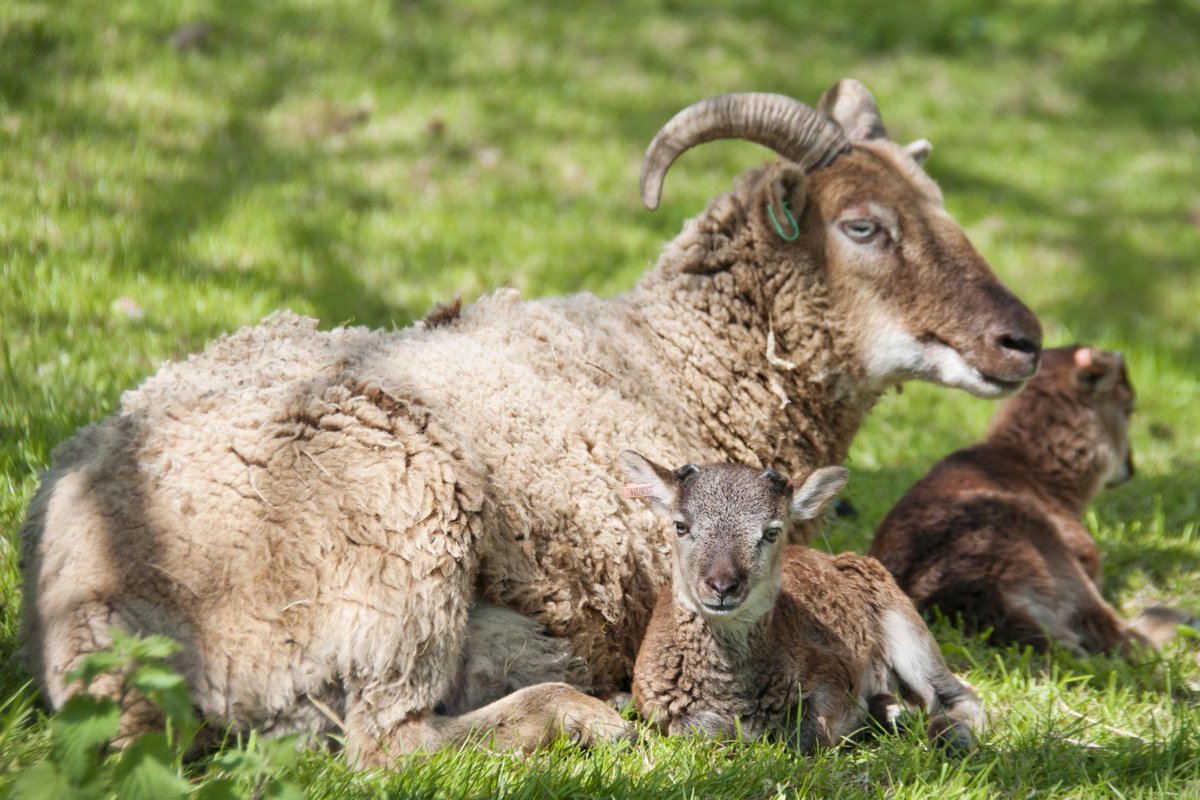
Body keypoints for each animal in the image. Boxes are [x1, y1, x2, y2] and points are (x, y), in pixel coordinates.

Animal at [623, 452, 983, 750]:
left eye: (771, 532)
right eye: (681, 526)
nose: (722, 586)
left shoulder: (834, 672)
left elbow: (805, 736)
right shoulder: (654, 704)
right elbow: (701, 729)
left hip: (904, 625)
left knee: (958, 694)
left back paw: (950, 739)